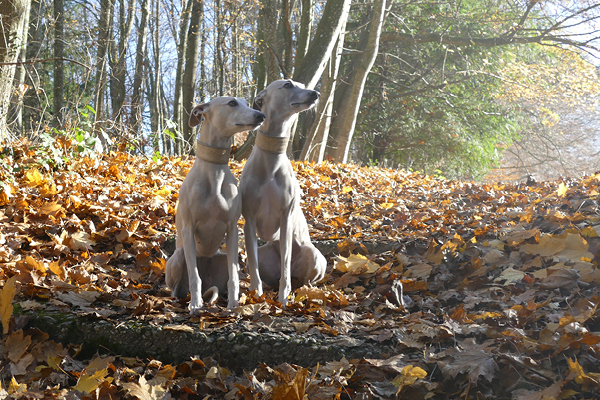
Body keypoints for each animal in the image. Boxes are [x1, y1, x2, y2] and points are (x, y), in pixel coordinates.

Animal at [165, 95, 266, 314]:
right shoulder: (188, 229)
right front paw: (195, 304)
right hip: (179, 256)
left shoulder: (232, 228)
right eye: (232, 103)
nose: (261, 115)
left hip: (221, 257)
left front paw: (234, 304)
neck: (215, 171)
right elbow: (194, 276)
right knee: (179, 287)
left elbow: (234, 278)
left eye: (246, 103)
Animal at [238, 80, 326, 306]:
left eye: (302, 85)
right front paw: (256, 293)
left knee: (298, 276)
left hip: (313, 255)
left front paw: (283, 298)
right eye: (288, 84)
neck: (271, 160)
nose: (315, 93)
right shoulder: (249, 220)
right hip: (265, 252)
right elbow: (253, 263)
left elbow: (286, 263)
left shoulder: (286, 219)